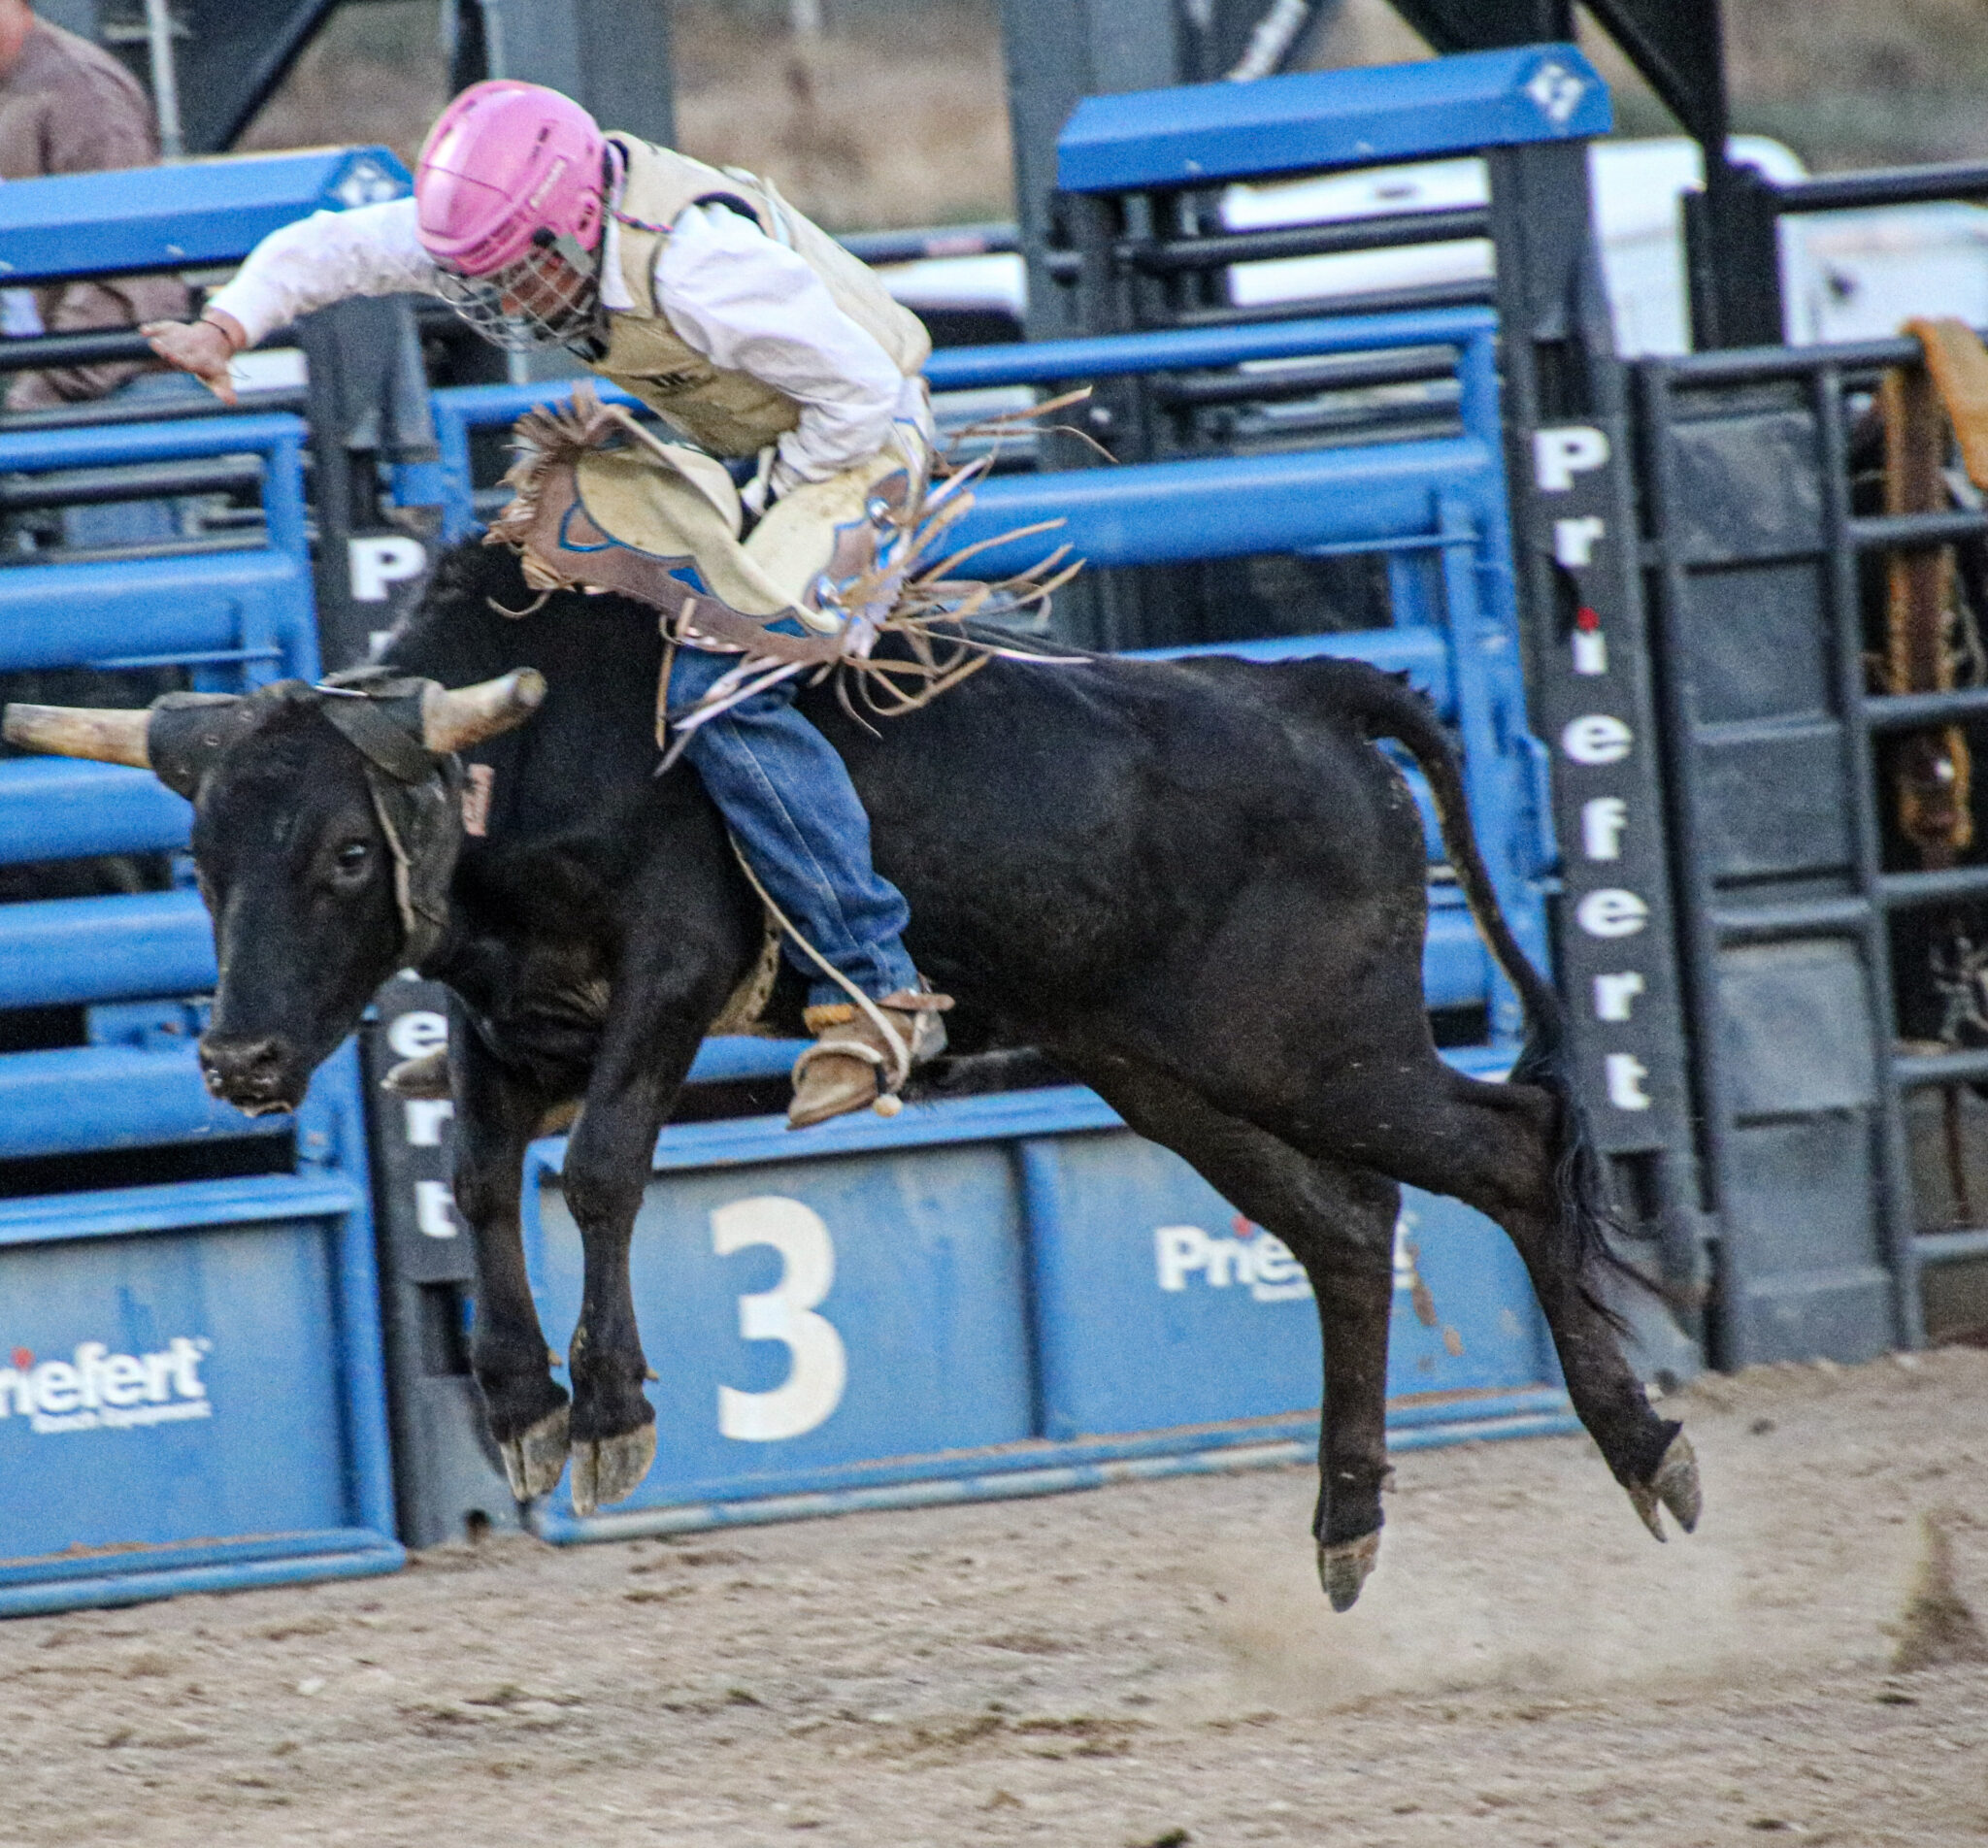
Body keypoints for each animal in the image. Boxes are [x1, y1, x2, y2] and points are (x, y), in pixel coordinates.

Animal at [4, 539, 1699, 1610]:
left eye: (349, 854)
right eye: (204, 859)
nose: (238, 1056)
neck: (533, 762)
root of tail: (1302, 695)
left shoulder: (673, 978)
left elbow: (599, 1169)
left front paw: (606, 1409)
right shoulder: (516, 1026)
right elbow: (485, 1183)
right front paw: (518, 1400)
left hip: (1318, 1049)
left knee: (1511, 1147)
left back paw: (1648, 1452)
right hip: (1171, 1070)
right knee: (1349, 1234)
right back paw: (1347, 1527)